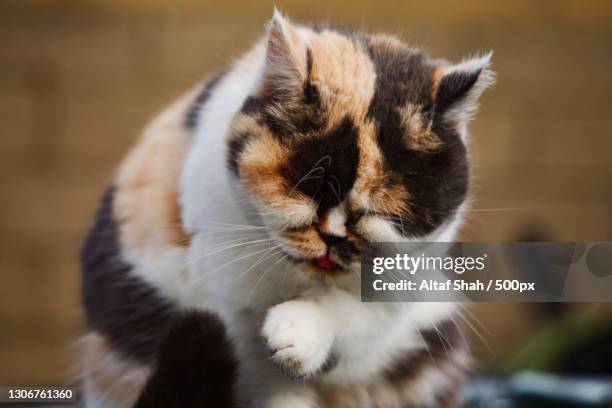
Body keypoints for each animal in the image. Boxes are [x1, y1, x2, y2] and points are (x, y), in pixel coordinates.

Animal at [80, 9, 492, 408]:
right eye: (306, 187)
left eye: (381, 212)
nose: (333, 237)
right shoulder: (229, 306)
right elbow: (267, 381)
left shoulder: (401, 286)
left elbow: (350, 314)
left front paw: (297, 334)